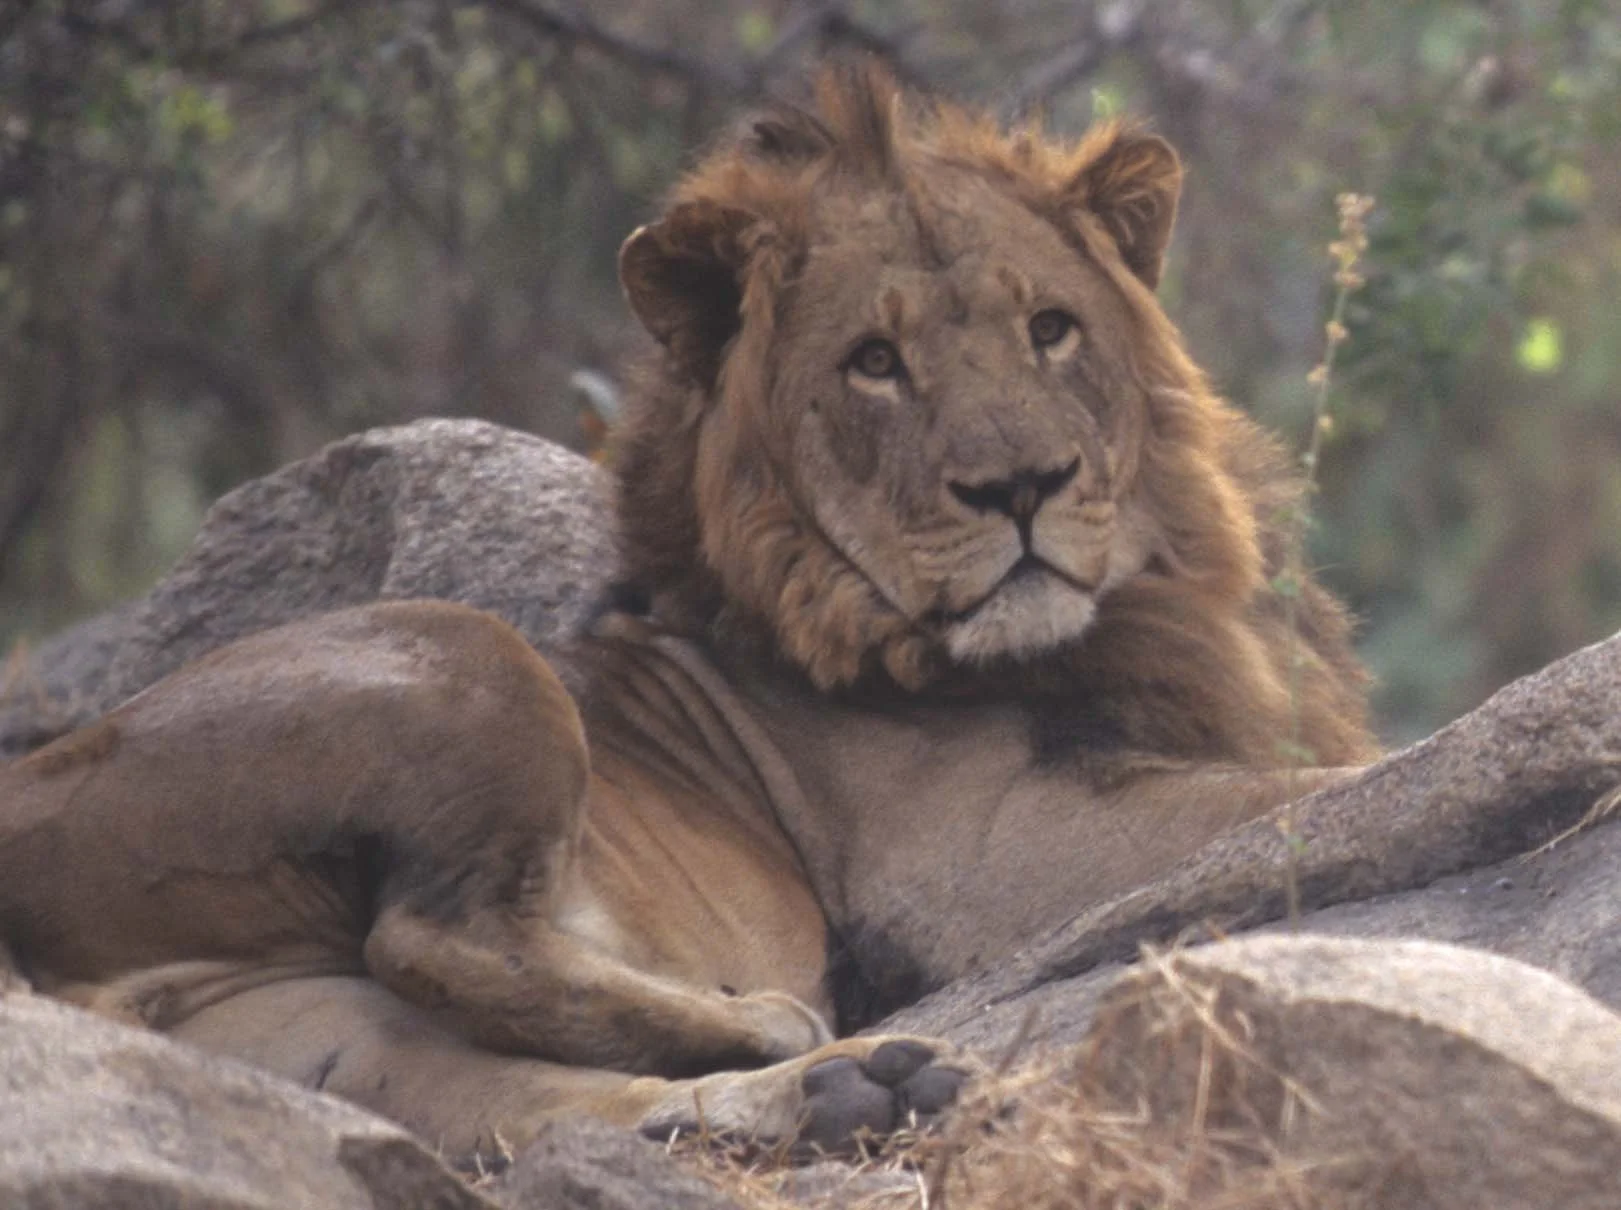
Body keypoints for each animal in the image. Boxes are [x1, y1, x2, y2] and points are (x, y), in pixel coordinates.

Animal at [0, 64, 1376, 1161]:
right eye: (873, 364)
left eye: (1050, 329)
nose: (1021, 487)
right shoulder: (989, 855)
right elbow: (1298, 801)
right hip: (462, 650)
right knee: (433, 935)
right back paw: (783, 1030)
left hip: (293, 1025)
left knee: (520, 1101)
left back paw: (849, 1090)